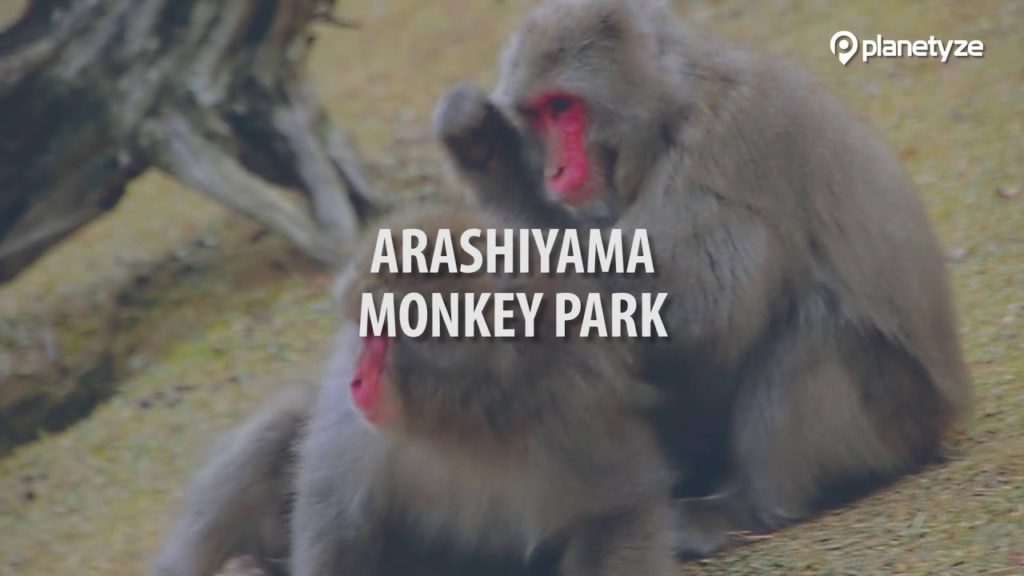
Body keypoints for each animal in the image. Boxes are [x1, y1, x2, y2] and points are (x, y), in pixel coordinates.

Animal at [434, 0, 972, 556]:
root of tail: (945, 416)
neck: (671, 112)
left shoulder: (725, 149)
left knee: (813, 328)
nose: (555, 171)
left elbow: (701, 307)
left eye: (563, 107)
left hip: (893, 416)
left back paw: (745, 505)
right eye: (537, 114)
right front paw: (483, 147)